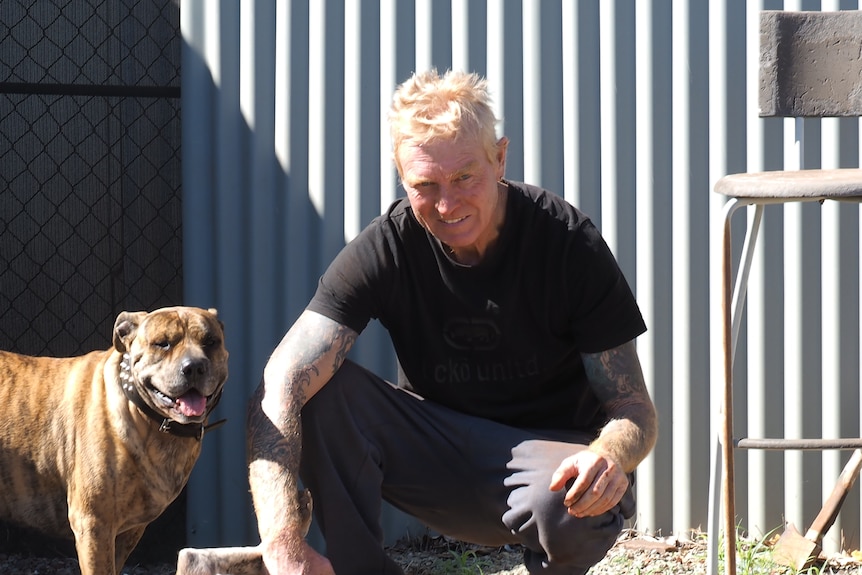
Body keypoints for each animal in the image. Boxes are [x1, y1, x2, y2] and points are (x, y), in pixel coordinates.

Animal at [0, 308, 231, 575]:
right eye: (162, 343)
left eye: (210, 342)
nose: (194, 366)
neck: (145, 416)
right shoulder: (93, 524)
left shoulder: (129, 531)